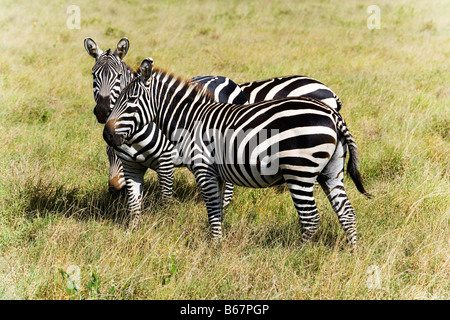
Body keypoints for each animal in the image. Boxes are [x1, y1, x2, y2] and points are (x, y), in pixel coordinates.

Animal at [103, 59, 370, 250]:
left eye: (131, 99)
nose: (107, 134)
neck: (189, 120)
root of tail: (333, 115)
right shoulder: (219, 174)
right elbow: (220, 208)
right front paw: (217, 241)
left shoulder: (204, 169)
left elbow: (212, 209)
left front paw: (215, 248)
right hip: (331, 171)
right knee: (347, 213)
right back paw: (352, 254)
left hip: (299, 171)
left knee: (311, 218)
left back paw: (296, 254)